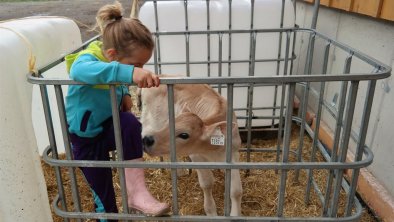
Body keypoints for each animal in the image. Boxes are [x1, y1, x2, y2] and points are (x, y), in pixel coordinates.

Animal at [139, 77, 243, 216]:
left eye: (184, 134)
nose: (147, 141)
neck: (213, 150)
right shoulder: (196, 156)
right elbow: (207, 183)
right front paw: (211, 212)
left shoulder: (233, 153)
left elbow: (236, 190)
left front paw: (235, 214)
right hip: (151, 123)